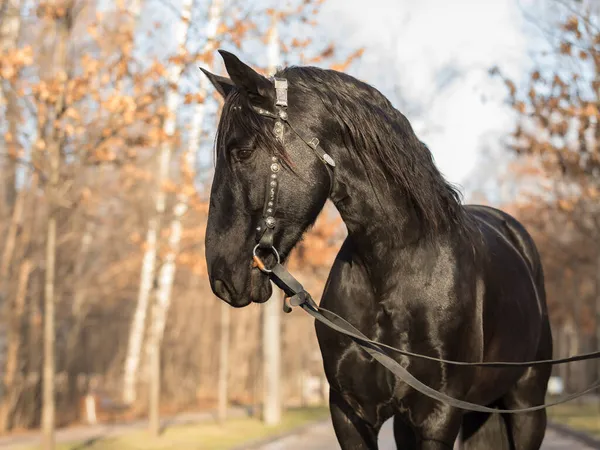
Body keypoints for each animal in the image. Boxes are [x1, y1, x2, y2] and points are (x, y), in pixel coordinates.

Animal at [203, 51, 552, 448]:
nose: (221, 274)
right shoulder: (350, 413)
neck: (397, 266)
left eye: (243, 152)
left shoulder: (438, 417)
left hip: (526, 406)